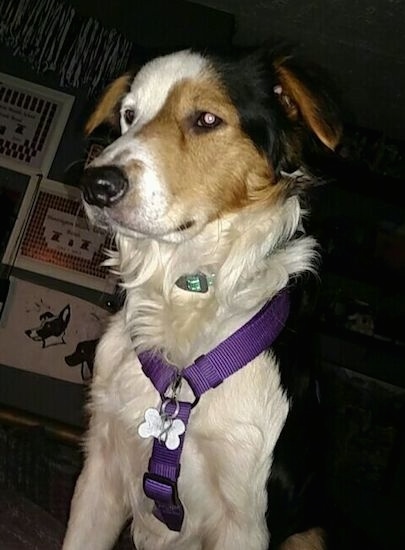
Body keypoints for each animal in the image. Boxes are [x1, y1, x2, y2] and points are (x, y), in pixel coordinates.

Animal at [63, 45, 340, 548]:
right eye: (129, 115)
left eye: (207, 119)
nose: (95, 184)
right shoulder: (100, 472)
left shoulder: (246, 523)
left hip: (308, 534)